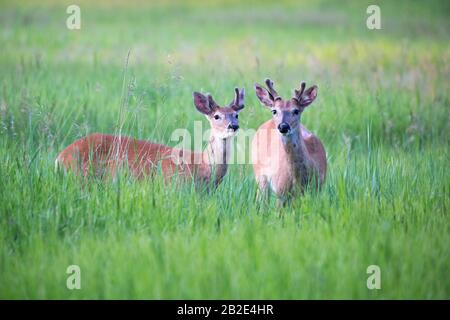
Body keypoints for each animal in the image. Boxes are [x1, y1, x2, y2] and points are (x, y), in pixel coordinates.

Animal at [56, 86, 248, 189]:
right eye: (216, 116)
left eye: (236, 115)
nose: (233, 126)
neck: (203, 167)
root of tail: (60, 157)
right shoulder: (173, 185)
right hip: (81, 177)